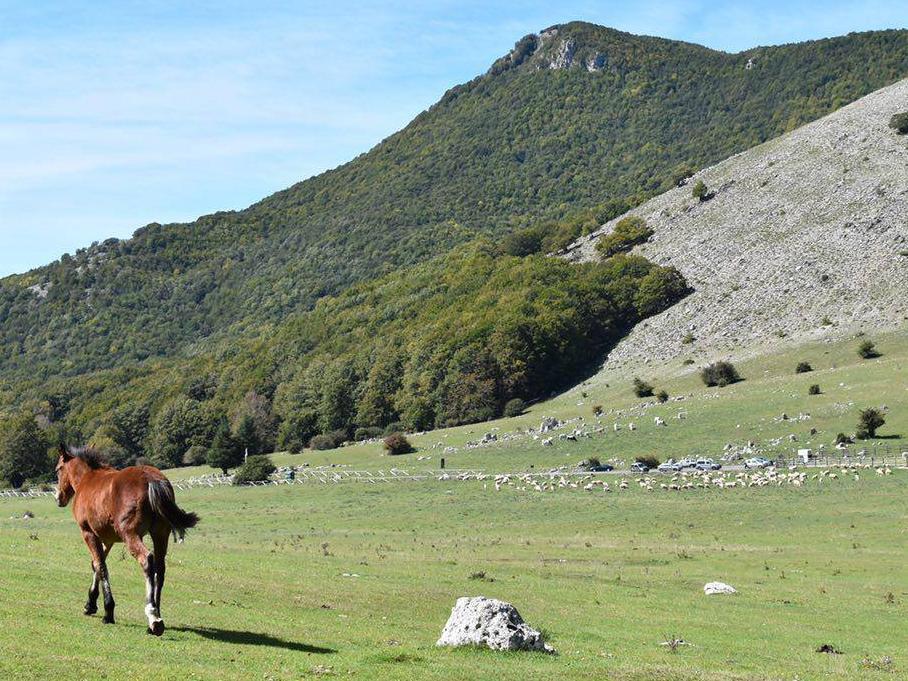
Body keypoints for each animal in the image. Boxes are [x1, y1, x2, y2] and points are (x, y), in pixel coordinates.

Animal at [56, 444, 200, 636]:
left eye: (58, 469)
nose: (58, 498)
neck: (87, 479)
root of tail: (150, 478)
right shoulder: (107, 539)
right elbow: (96, 565)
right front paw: (90, 604)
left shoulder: (88, 533)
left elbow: (101, 567)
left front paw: (108, 612)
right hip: (161, 534)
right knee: (160, 568)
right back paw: (157, 615)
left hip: (130, 535)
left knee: (147, 560)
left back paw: (153, 616)